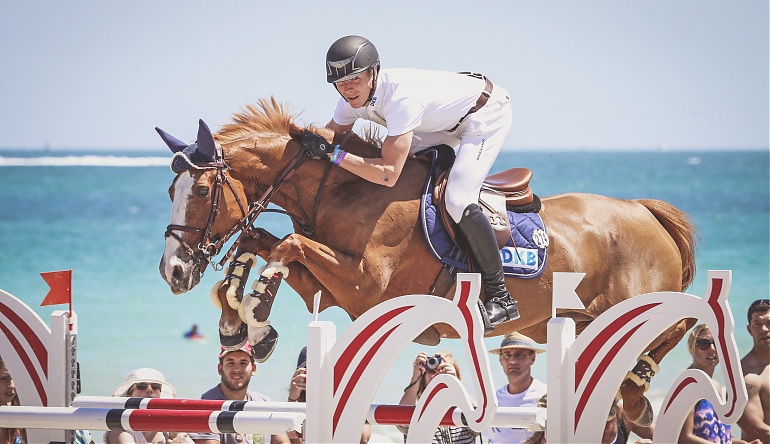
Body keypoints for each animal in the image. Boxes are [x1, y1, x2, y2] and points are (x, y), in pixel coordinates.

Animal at [156, 97, 696, 424]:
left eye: (200, 191)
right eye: (169, 191)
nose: (173, 272)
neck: (347, 190)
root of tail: (645, 211)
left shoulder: (367, 286)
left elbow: (286, 245)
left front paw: (256, 311)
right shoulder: (335, 290)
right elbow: (261, 242)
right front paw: (242, 324)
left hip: (632, 305)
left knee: (679, 323)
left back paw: (638, 389)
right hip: (564, 323)